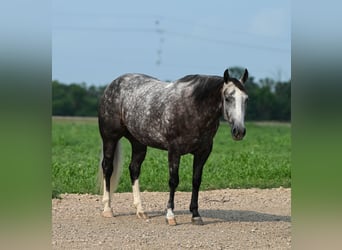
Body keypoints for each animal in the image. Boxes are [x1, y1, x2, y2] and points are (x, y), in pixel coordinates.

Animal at [97, 67, 247, 226]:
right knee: (108, 168)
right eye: (228, 98)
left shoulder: (203, 152)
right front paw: (170, 215)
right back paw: (107, 209)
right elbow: (173, 181)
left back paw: (140, 210)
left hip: (138, 143)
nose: (239, 131)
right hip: (110, 138)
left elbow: (196, 181)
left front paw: (195, 215)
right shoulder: (174, 151)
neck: (193, 108)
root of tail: (113, 84)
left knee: (134, 169)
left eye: (246, 99)